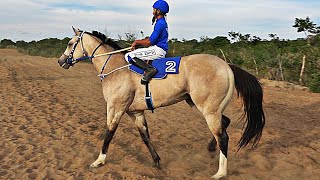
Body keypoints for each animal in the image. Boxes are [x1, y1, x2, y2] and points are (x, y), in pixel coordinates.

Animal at [57, 27, 264, 179]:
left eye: (70, 43)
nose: (61, 61)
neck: (116, 67)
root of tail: (226, 65)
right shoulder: (136, 112)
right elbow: (145, 137)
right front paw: (156, 162)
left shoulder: (115, 108)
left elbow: (109, 133)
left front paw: (99, 161)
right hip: (201, 105)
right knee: (224, 124)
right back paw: (211, 148)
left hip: (208, 109)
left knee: (223, 137)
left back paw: (220, 173)